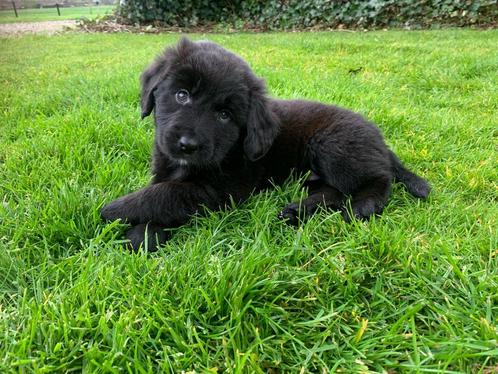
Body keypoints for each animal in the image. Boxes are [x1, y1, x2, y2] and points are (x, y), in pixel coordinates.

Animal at [100, 38, 428, 251]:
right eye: (182, 95)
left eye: (224, 115)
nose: (187, 145)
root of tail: (379, 138)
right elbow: (162, 191)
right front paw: (144, 235)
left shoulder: (217, 192)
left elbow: (167, 195)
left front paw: (113, 211)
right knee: (334, 191)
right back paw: (297, 210)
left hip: (334, 146)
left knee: (378, 181)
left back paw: (361, 207)